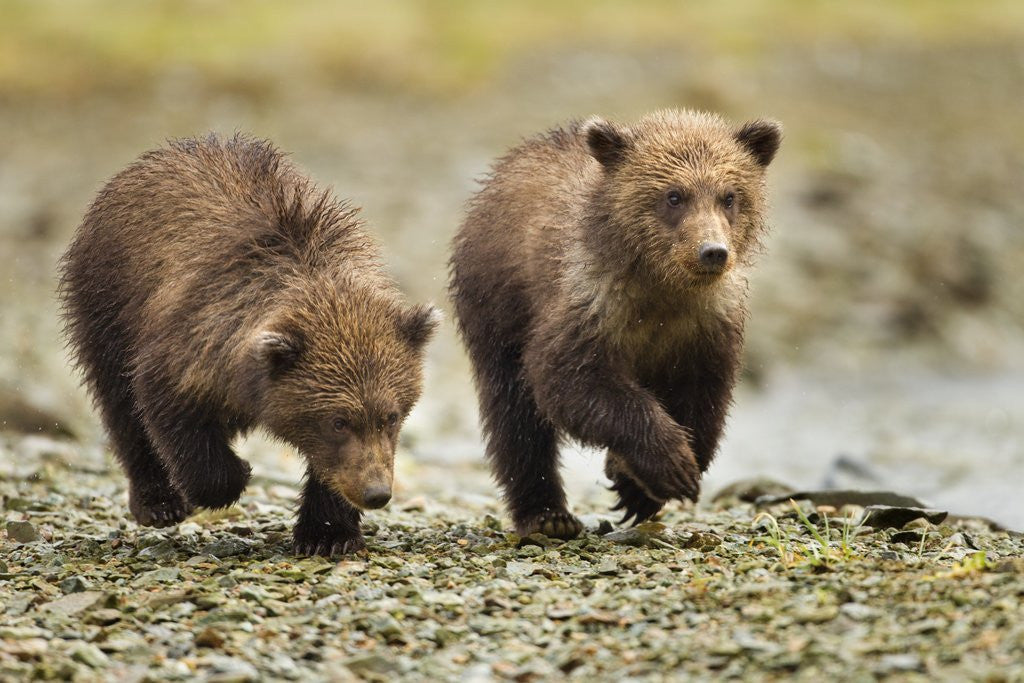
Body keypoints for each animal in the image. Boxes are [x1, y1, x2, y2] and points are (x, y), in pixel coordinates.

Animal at [59, 134, 439, 556]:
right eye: (338, 421)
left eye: (391, 416)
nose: (376, 493)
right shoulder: (190, 342)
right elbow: (166, 410)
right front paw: (228, 479)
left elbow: (327, 468)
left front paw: (327, 533)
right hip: (108, 299)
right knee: (119, 402)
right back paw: (158, 502)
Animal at [449, 109, 781, 538]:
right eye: (674, 195)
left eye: (729, 196)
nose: (712, 252)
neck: (662, 288)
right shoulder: (591, 306)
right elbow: (571, 380)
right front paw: (668, 465)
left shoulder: (706, 326)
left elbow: (704, 398)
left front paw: (637, 487)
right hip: (498, 306)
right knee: (514, 415)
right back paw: (547, 515)